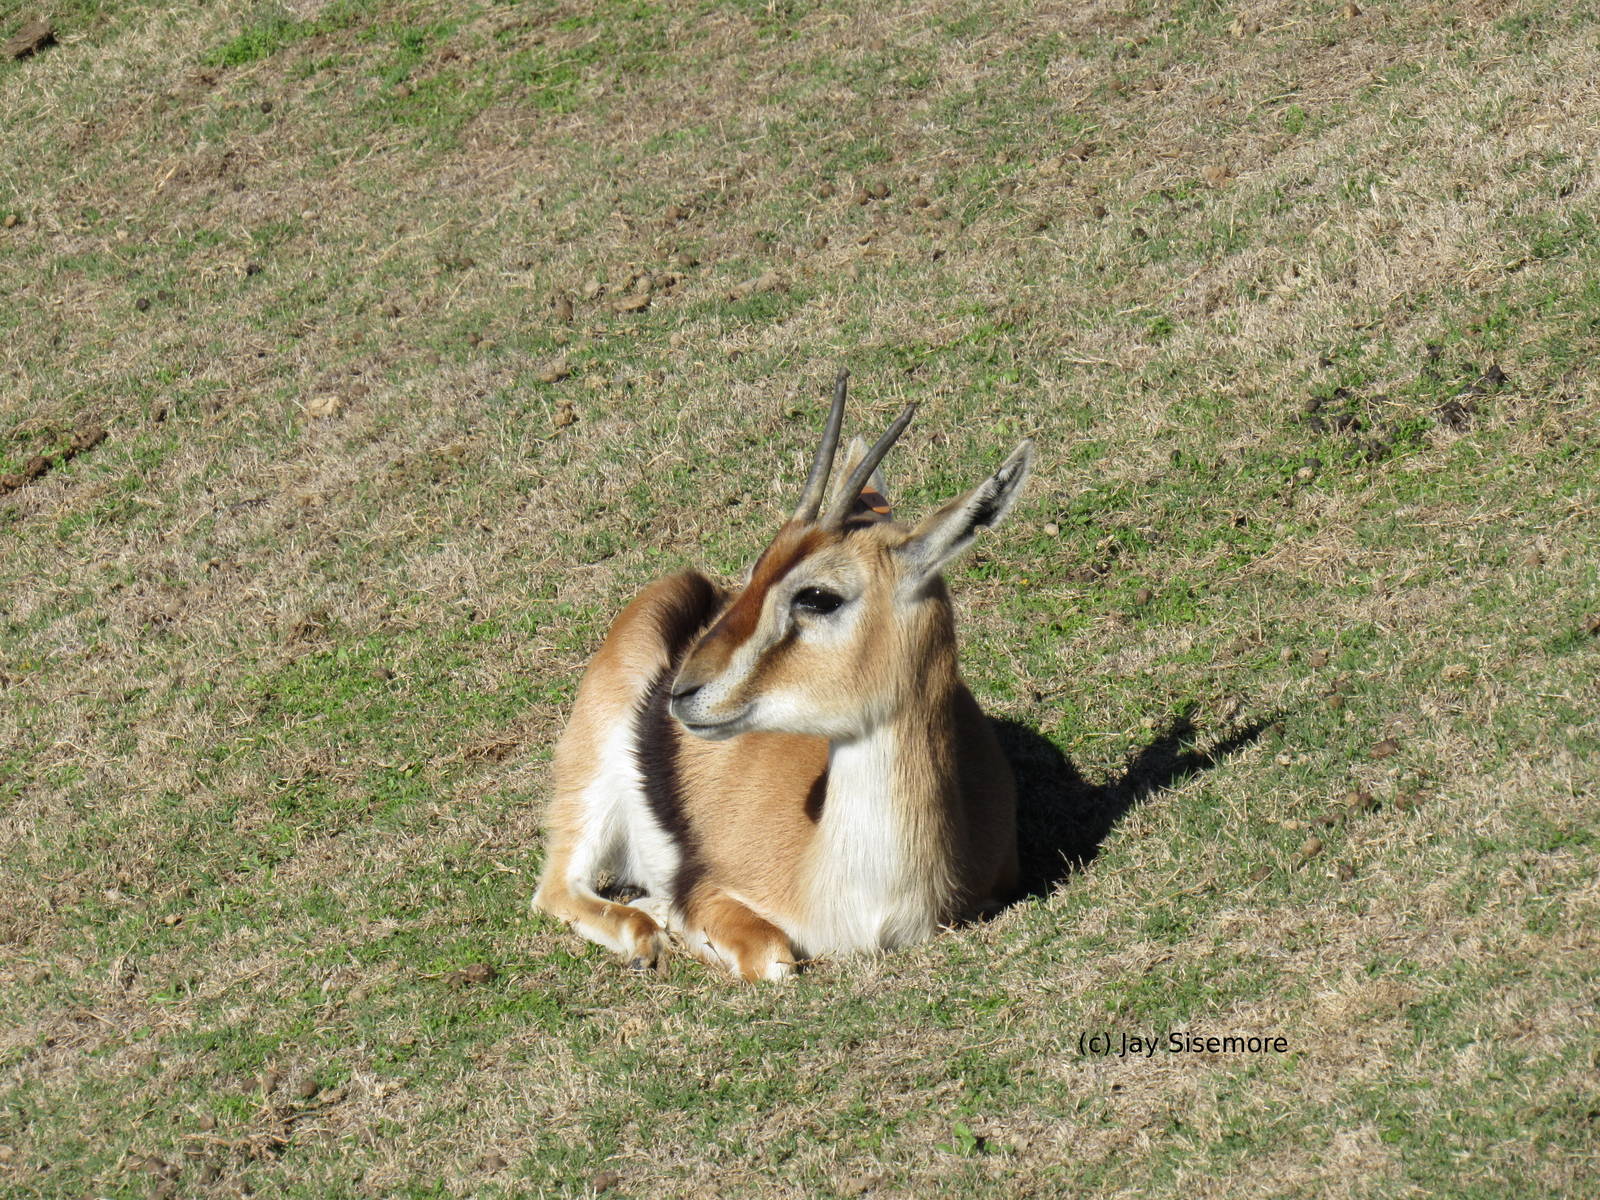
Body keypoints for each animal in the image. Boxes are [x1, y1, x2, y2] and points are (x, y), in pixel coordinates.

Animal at [533, 370, 1033, 981]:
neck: (872, 905)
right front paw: (672, 915)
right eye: (760, 566)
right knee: (557, 888)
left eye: (818, 596)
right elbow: (774, 959)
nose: (685, 691)